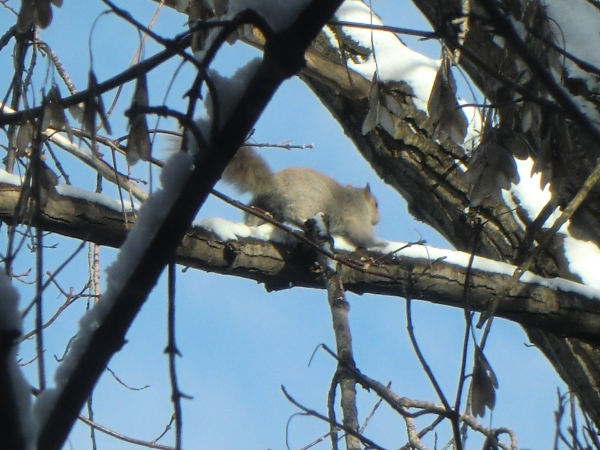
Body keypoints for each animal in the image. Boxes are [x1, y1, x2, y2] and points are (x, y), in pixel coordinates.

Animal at [221, 147, 384, 250]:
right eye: (376, 204)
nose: (377, 219)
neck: (359, 200)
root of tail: (275, 185)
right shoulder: (357, 219)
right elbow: (363, 236)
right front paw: (379, 244)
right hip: (305, 203)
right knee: (292, 214)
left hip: (263, 203)